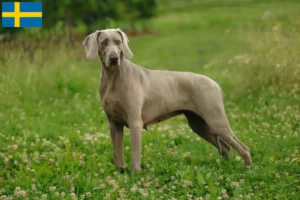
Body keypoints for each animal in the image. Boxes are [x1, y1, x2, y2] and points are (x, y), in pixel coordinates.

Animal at [82, 28, 253, 173]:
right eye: (104, 42)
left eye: (118, 42)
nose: (114, 58)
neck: (113, 77)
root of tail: (215, 83)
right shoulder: (114, 124)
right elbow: (117, 153)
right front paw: (119, 174)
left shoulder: (135, 122)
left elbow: (135, 155)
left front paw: (135, 176)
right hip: (198, 124)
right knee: (225, 147)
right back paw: (226, 168)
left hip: (216, 119)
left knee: (242, 147)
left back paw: (249, 169)